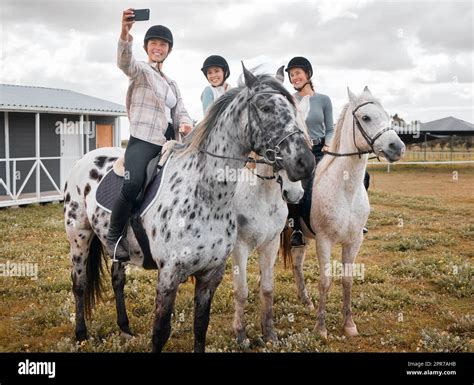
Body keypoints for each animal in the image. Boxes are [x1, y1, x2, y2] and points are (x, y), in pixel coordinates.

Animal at [63, 65, 314, 352]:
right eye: (265, 106)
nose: (305, 163)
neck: (207, 197)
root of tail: (85, 159)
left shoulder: (210, 274)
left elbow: (200, 326)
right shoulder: (169, 275)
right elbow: (160, 332)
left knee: (118, 280)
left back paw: (125, 329)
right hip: (79, 237)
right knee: (79, 284)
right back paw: (81, 334)